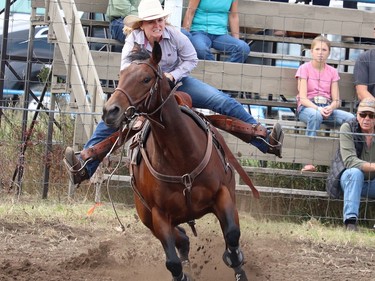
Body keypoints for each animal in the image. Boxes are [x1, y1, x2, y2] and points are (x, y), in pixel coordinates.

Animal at [101, 41, 251, 280]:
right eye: (121, 75)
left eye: (146, 79)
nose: (110, 111)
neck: (181, 155)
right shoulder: (159, 216)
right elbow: (172, 262)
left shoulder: (222, 195)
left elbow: (232, 237)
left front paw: (237, 267)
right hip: (147, 217)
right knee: (182, 238)